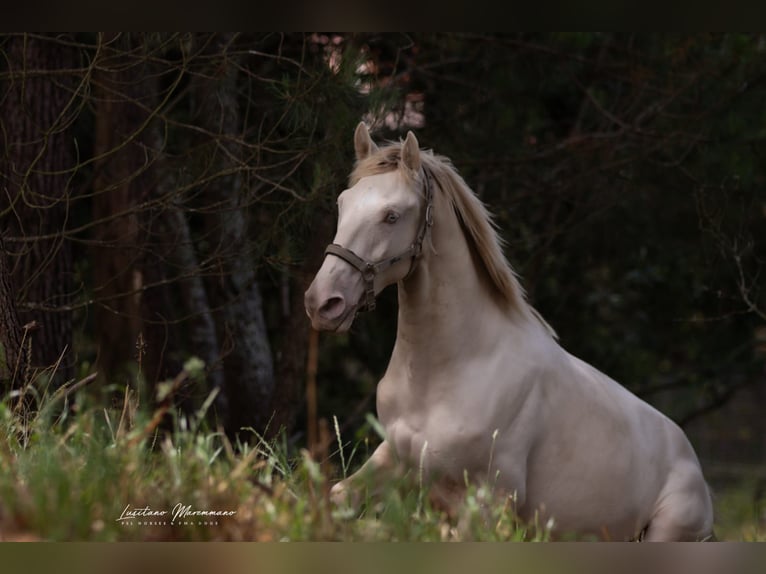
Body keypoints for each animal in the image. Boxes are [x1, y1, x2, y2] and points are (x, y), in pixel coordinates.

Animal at [304, 124, 716, 544]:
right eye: (343, 204)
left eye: (392, 216)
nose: (323, 303)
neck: (453, 369)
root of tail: (693, 463)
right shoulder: (394, 460)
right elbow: (336, 499)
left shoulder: (490, 502)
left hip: (666, 531)